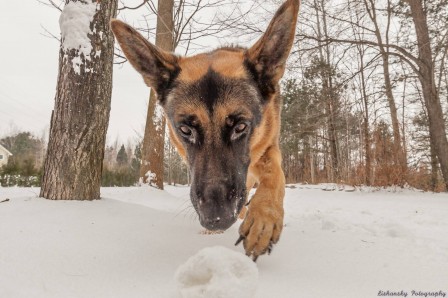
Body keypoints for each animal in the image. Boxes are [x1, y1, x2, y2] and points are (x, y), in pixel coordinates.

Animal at [111, 0, 300, 260]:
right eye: (185, 130)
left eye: (241, 126)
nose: (216, 217)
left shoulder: (268, 147)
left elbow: (275, 173)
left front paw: (264, 219)